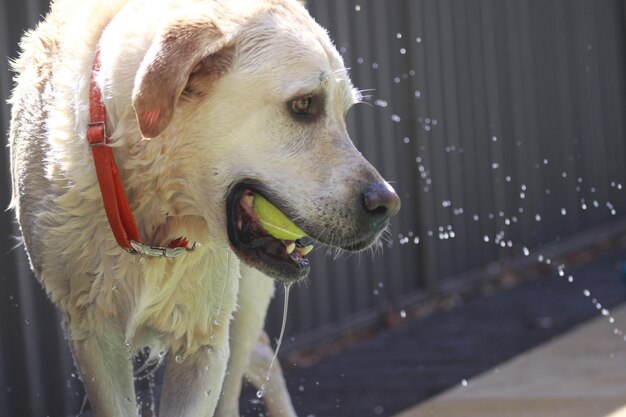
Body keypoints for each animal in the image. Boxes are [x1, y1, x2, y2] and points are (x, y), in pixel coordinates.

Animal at [8, 0, 400, 416]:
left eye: (345, 111)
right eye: (303, 104)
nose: (388, 204)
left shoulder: (204, 339)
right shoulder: (93, 333)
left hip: (244, 305)